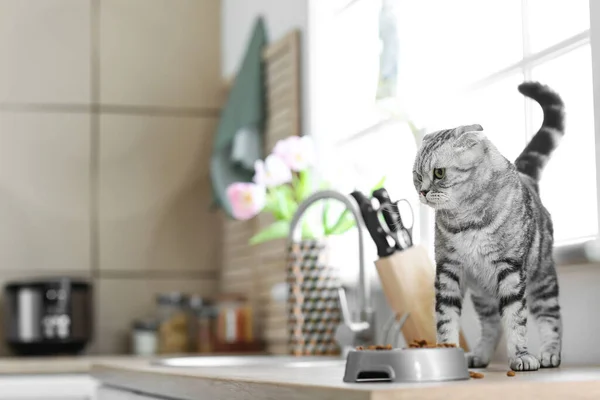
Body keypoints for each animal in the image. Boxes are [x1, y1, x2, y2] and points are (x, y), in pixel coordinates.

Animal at [412, 82, 564, 372]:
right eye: (416, 176)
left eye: (439, 173)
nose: (423, 191)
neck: (466, 220)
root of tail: (525, 176)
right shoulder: (448, 269)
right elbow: (446, 318)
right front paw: (447, 352)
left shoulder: (511, 269)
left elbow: (515, 319)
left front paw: (521, 355)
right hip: (482, 295)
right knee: (493, 325)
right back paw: (480, 355)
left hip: (543, 279)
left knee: (551, 318)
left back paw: (550, 353)